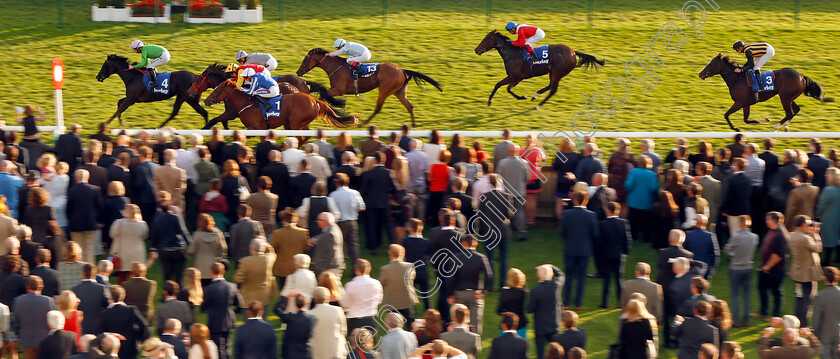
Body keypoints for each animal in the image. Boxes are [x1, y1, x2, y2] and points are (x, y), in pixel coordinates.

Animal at [192, 64, 346, 130]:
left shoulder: (231, 112)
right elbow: (222, 123)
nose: (191, 92)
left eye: (199, 79)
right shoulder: (231, 113)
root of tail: (302, 81)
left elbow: (215, 120)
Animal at [208, 80, 360, 143]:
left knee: (300, 137)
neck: (246, 103)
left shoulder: (255, 127)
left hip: (295, 123)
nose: (206, 100)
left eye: (216, 90)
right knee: (305, 136)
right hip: (300, 123)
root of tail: (315, 100)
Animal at [296, 48, 442, 126]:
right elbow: (323, 96)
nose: (298, 72)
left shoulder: (338, 90)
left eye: (305, 60)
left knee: (378, 108)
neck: (336, 67)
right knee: (409, 106)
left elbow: (323, 96)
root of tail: (401, 70)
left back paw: (365, 122)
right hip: (399, 92)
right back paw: (413, 124)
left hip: (384, 90)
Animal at [472, 30, 604, 109]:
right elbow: (501, 86)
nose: (476, 50)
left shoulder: (516, 77)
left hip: (557, 72)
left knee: (553, 89)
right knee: (550, 86)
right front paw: (490, 101)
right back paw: (535, 95)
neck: (512, 54)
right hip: (553, 72)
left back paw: (538, 105)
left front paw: (521, 97)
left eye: (486, 39)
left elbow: (504, 87)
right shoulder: (516, 78)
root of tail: (573, 52)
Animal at [696, 53, 832, 132]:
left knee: (790, 113)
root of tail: (801, 76)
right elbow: (746, 120)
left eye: (711, 64)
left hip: (784, 97)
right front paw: (765, 119)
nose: (700, 74)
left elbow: (726, 115)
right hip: (789, 97)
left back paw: (776, 127)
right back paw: (785, 126)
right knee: (795, 110)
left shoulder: (739, 102)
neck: (737, 78)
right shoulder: (746, 104)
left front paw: (736, 128)